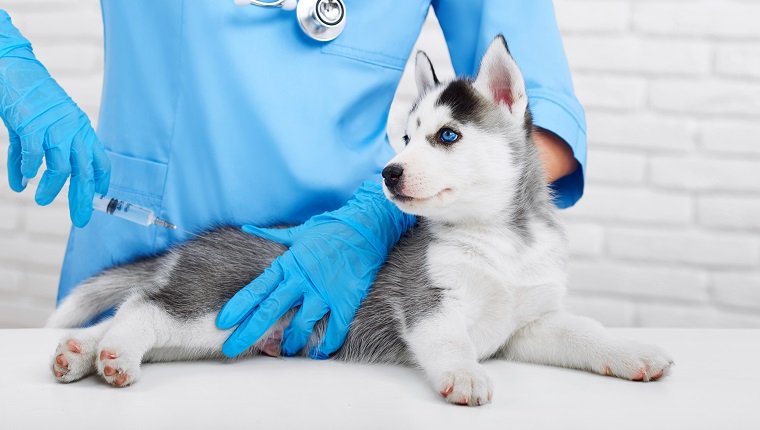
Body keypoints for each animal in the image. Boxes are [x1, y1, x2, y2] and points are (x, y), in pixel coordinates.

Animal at [47, 37, 672, 406]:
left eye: (447, 136)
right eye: (405, 137)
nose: (388, 174)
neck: (502, 240)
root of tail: (196, 243)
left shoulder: (530, 323)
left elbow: (585, 332)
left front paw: (633, 353)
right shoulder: (428, 304)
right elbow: (450, 340)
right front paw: (466, 374)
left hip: (217, 332)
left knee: (130, 310)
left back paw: (79, 353)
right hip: (214, 305)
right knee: (144, 311)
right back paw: (115, 356)